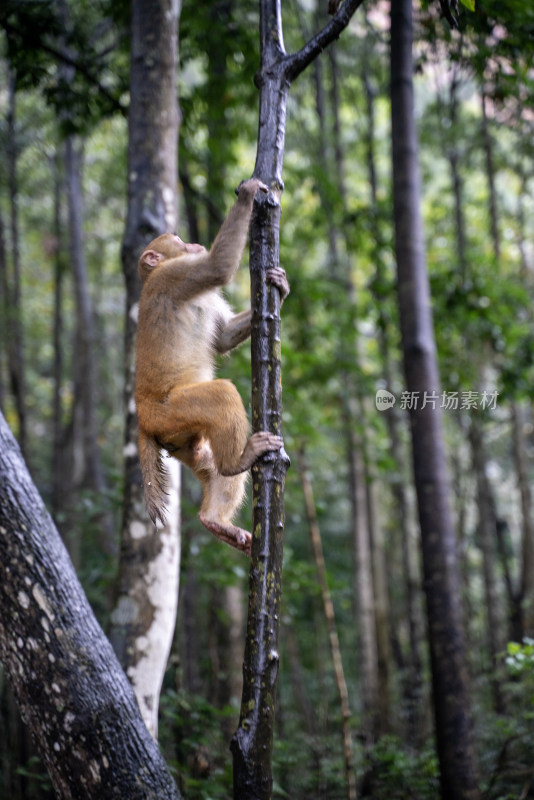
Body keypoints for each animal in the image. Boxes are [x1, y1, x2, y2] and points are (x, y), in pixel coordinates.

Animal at [136, 180, 292, 556]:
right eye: (176, 238)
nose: (189, 241)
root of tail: (143, 417)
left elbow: (221, 339)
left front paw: (280, 288)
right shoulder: (173, 275)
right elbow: (217, 267)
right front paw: (248, 195)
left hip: (181, 441)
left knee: (209, 463)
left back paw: (214, 520)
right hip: (168, 412)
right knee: (220, 395)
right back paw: (240, 459)